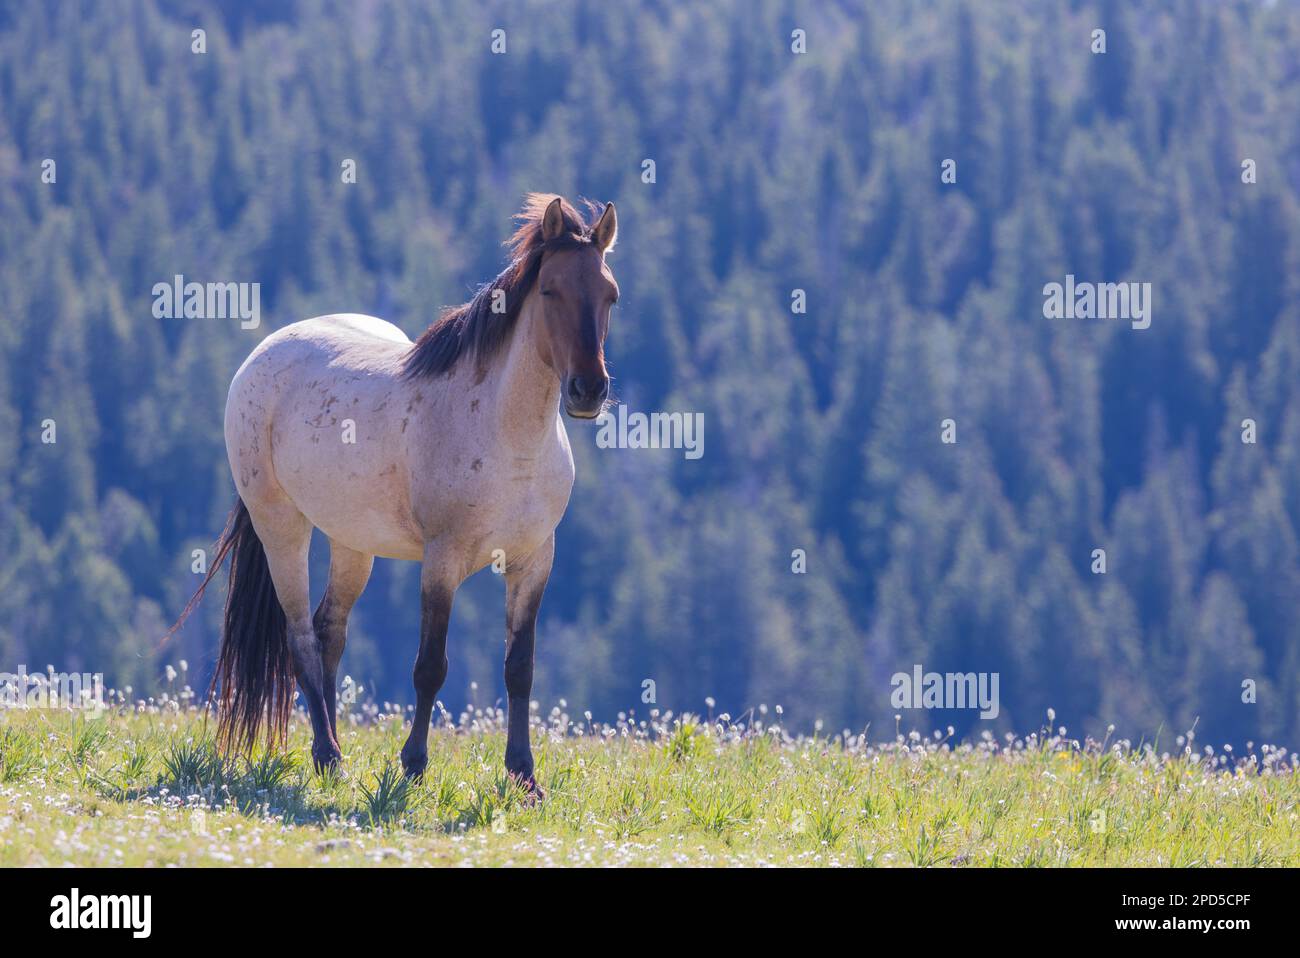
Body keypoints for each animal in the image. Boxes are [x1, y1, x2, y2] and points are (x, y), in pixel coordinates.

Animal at [178, 191, 618, 790]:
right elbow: (430, 666)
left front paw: (525, 776)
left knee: (329, 631)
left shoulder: (534, 562)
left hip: (352, 542)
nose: (588, 390)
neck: (509, 438)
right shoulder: (441, 561)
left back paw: (332, 749)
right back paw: (328, 755)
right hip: (281, 527)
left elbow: (519, 669)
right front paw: (413, 764)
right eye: (550, 290)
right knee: (301, 637)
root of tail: (263, 353)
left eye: (610, 295)